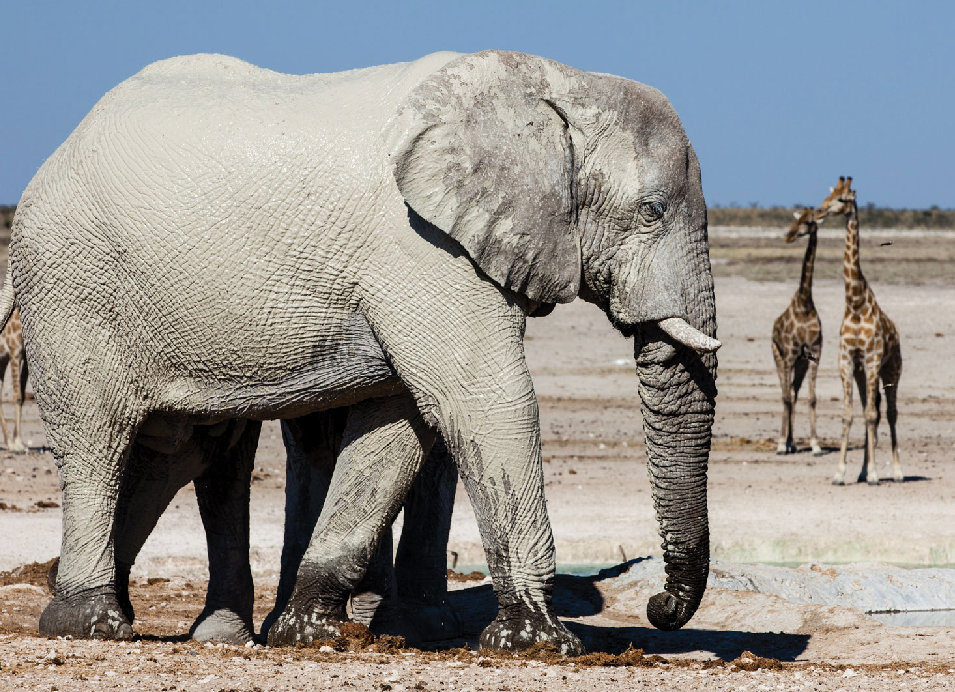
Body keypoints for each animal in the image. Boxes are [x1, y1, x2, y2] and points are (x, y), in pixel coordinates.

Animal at [3, 49, 718, 653]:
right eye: (651, 210)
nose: (659, 607)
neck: (553, 83)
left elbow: (398, 424)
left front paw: (308, 633)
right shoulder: (421, 248)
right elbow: (484, 399)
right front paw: (539, 643)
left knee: (183, 449)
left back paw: (197, 629)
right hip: (71, 286)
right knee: (100, 439)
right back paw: (89, 624)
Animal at [815, 176, 902, 484]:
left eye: (842, 200)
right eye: (829, 196)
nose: (818, 212)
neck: (855, 303)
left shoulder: (874, 358)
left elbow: (873, 415)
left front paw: (876, 472)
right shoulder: (847, 359)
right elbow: (850, 414)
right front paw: (841, 472)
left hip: (892, 370)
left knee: (889, 412)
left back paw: (896, 471)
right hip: (864, 373)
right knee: (869, 408)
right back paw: (863, 470)